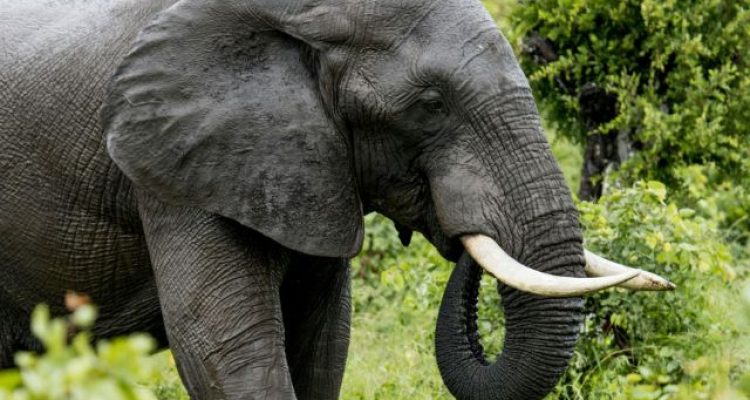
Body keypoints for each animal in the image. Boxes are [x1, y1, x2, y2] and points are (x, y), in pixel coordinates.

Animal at [0, 0, 674, 398]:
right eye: (431, 104)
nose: (458, 226)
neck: (299, 15)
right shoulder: (170, 163)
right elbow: (225, 343)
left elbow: (324, 341)